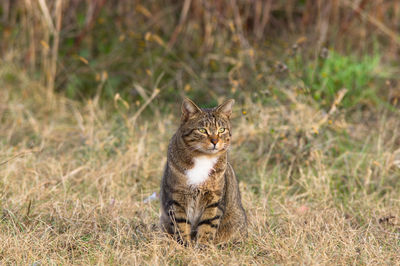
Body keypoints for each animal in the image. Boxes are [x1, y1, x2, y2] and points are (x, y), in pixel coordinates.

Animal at [159, 97, 247, 245]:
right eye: (202, 130)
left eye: (221, 129)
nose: (215, 141)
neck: (203, 158)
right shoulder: (177, 198)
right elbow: (181, 224)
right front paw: (185, 246)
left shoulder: (214, 199)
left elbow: (207, 225)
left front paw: (202, 246)